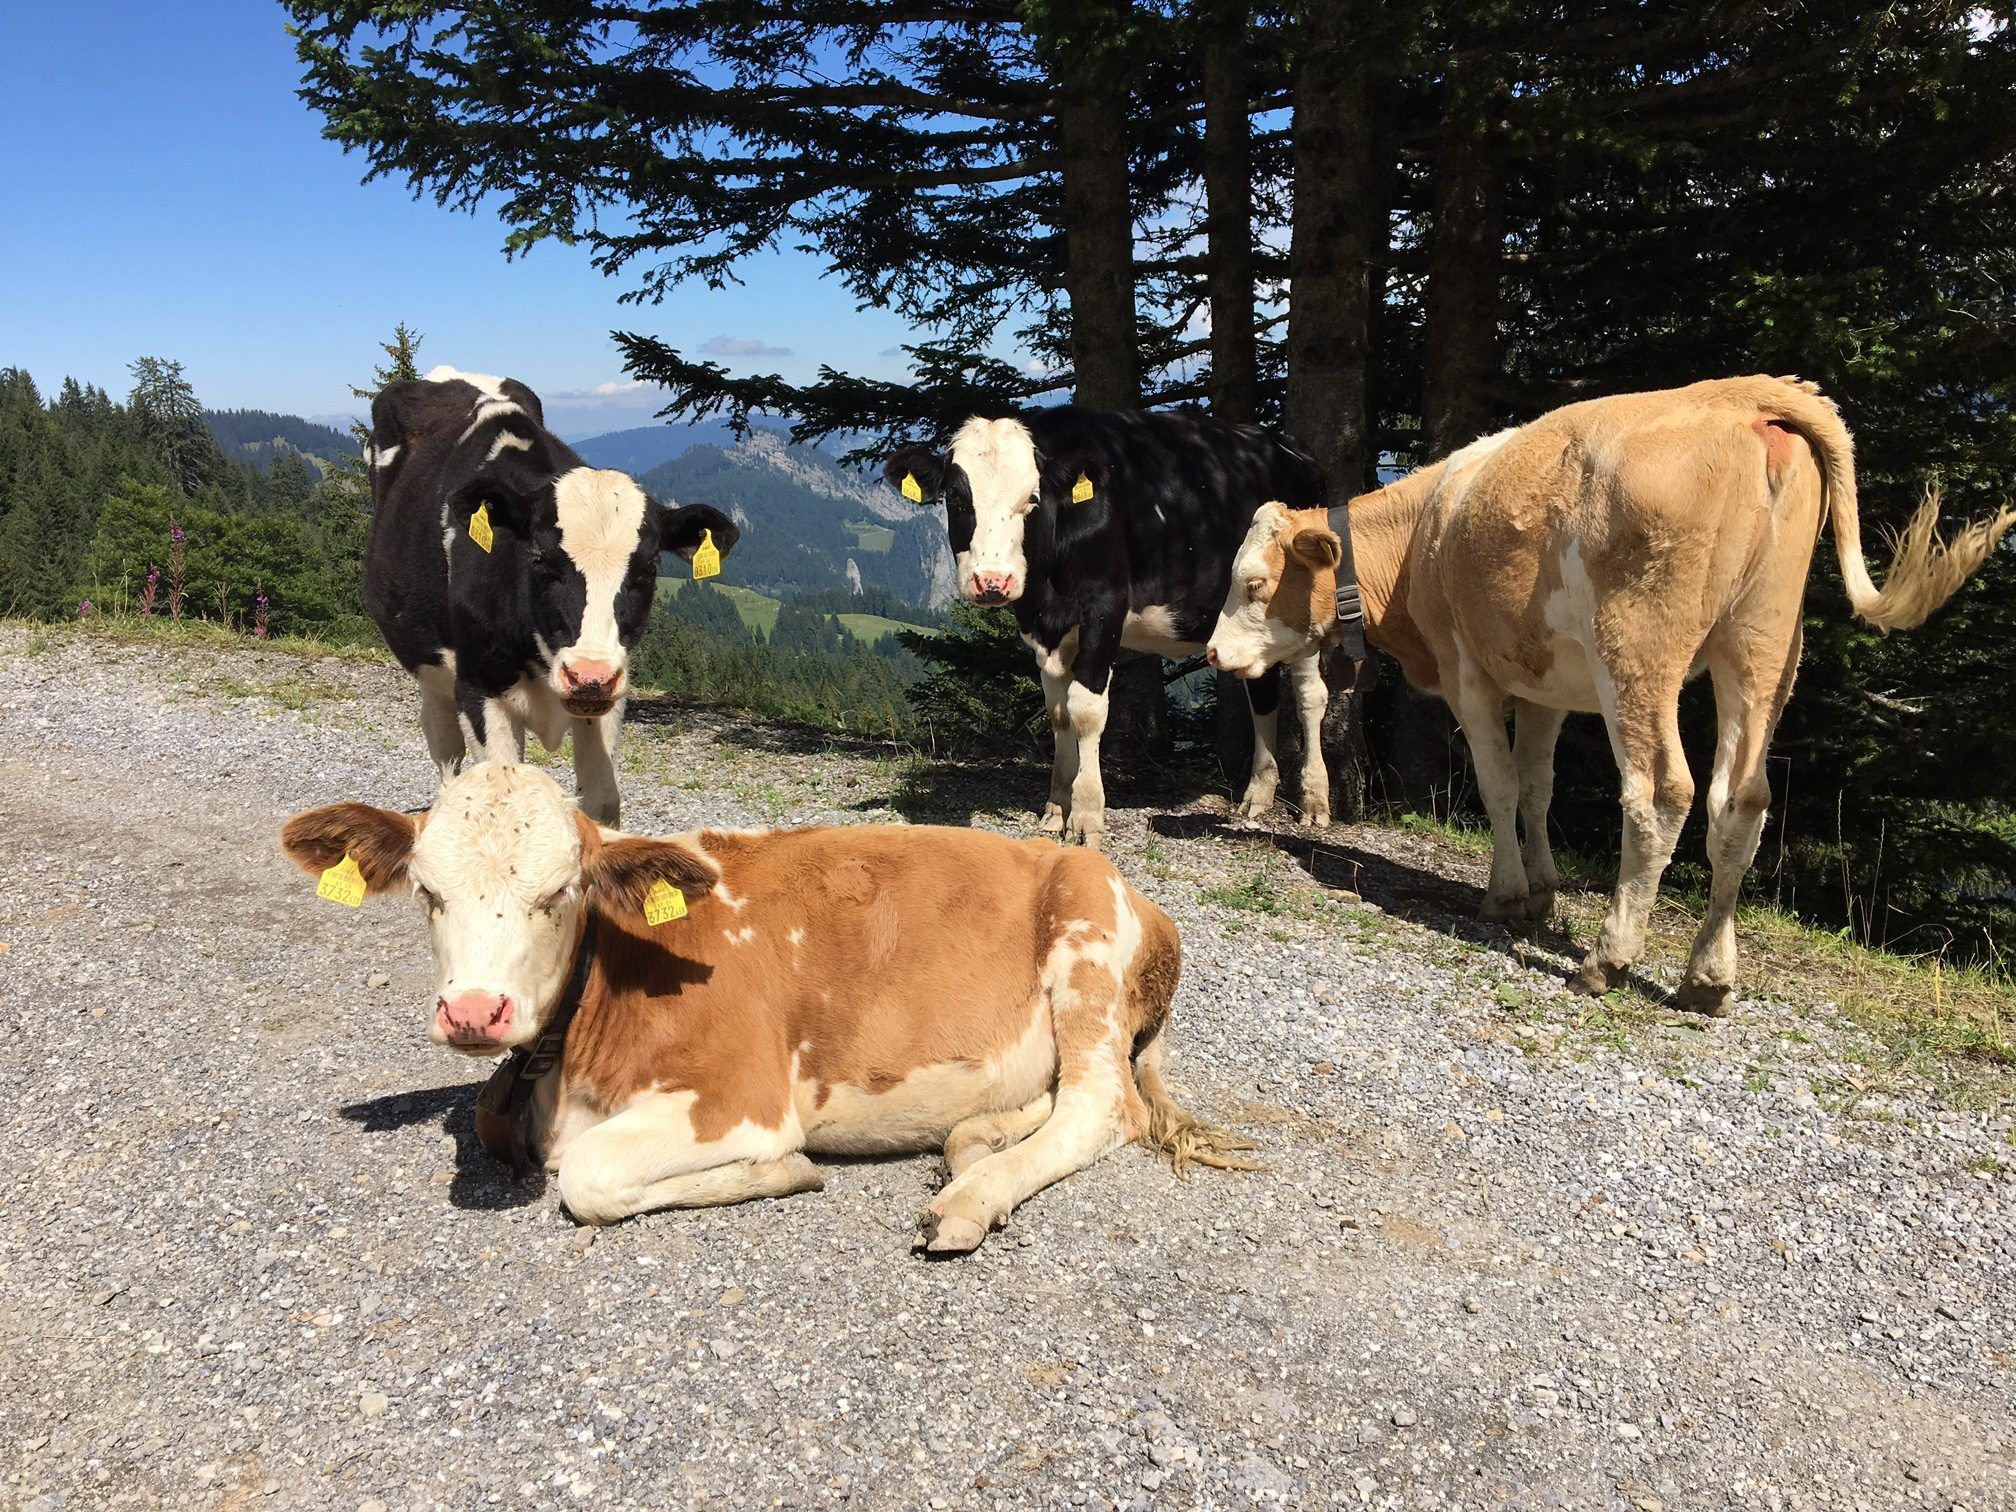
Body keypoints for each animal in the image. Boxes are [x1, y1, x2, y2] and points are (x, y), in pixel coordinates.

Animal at [280, 762, 1241, 1249]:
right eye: (427, 892)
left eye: (560, 892)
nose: (475, 1013)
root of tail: (1136, 891)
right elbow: (494, 1120)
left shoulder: (738, 1099)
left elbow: (587, 1174)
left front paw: (779, 1174)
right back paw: (972, 1144)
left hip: (1085, 946)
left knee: (1101, 1107)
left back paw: (972, 1197)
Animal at [366, 370, 737, 830]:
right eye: (541, 560)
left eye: (649, 569)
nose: (589, 675)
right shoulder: (479, 688)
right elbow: (498, 799)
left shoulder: (609, 698)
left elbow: (601, 800)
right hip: (430, 669)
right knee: (446, 750)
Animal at [887, 409, 1346, 846]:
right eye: (957, 499)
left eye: (1032, 498)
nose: (993, 582)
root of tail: (1290, 448)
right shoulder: (1042, 626)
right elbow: (1058, 712)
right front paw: (1056, 807)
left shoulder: (1104, 607)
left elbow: (1086, 710)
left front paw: (1086, 816)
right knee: (1262, 691)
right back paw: (1258, 794)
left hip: (1302, 614)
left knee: (1310, 696)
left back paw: (1313, 801)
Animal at [1201, 376, 2007, 1020]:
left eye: (1254, 583)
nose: (1211, 653)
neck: (1418, 540)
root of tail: (1742, 394)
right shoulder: (1545, 685)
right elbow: (1537, 786)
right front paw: (1543, 893)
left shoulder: (1470, 675)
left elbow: (1498, 785)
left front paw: (1505, 896)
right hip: (1765, 641)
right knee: (1741, 800)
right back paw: (1707, 979)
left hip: (1639, 648)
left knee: (1661, 792)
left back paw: (1608, 958)